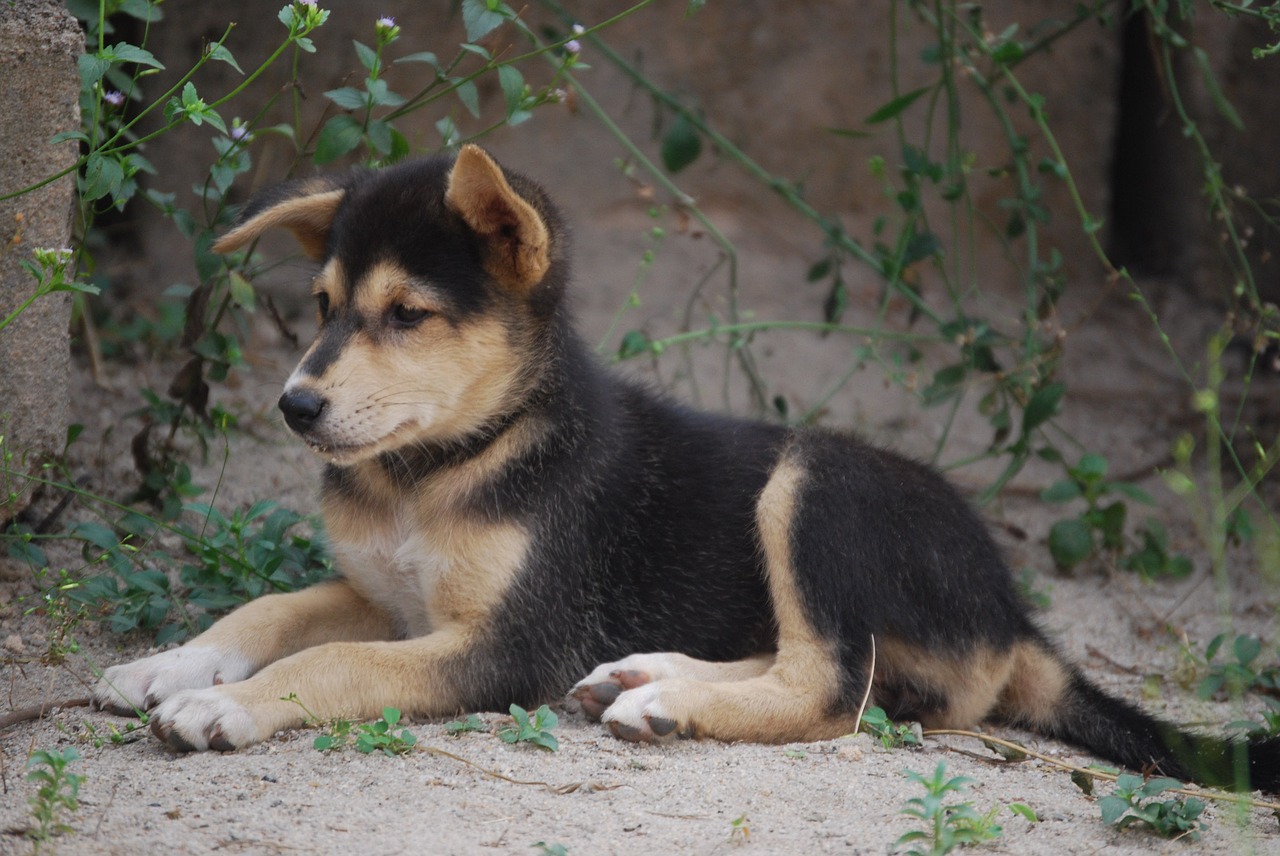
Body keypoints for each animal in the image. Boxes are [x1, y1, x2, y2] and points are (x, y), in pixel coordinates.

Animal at [94, 145, 1280, 788]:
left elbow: (339, 662)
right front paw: (168, 665)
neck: (436, 467)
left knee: (830, 687)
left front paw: (226, 709)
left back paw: (666, 704)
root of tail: (1014, 612)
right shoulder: (383, 592)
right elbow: (273, 608)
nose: (295, 406)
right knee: (841, 670)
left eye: (407, 314)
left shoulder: (511, 641)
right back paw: (646, 675)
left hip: (814, 482)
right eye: (324, 307)